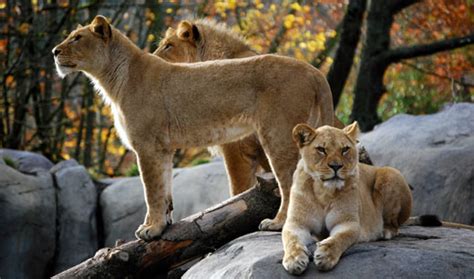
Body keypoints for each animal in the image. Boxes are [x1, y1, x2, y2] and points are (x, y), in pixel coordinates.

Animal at [51, 16, 334, 242]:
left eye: (77, 38)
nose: (54, 51)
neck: (113, 78)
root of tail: (314, 71)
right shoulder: (163, 149)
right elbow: (164, 190)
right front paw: (161, 226)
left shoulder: (147, 146)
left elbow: (151, 191)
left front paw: (151, 229)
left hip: (277, 136)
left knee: (289, 182)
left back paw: (277, 223)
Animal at [282, 122, 412, 276]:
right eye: (321, 149)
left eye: (344, 149)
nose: (336, 166)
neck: (324, 191)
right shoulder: (297, 224)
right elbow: (291, 240)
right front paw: (294, 259)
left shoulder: (348, 223)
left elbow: (339, 239)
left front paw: (325, 255)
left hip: (390, 173)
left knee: (395, 225)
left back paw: (384, 231)